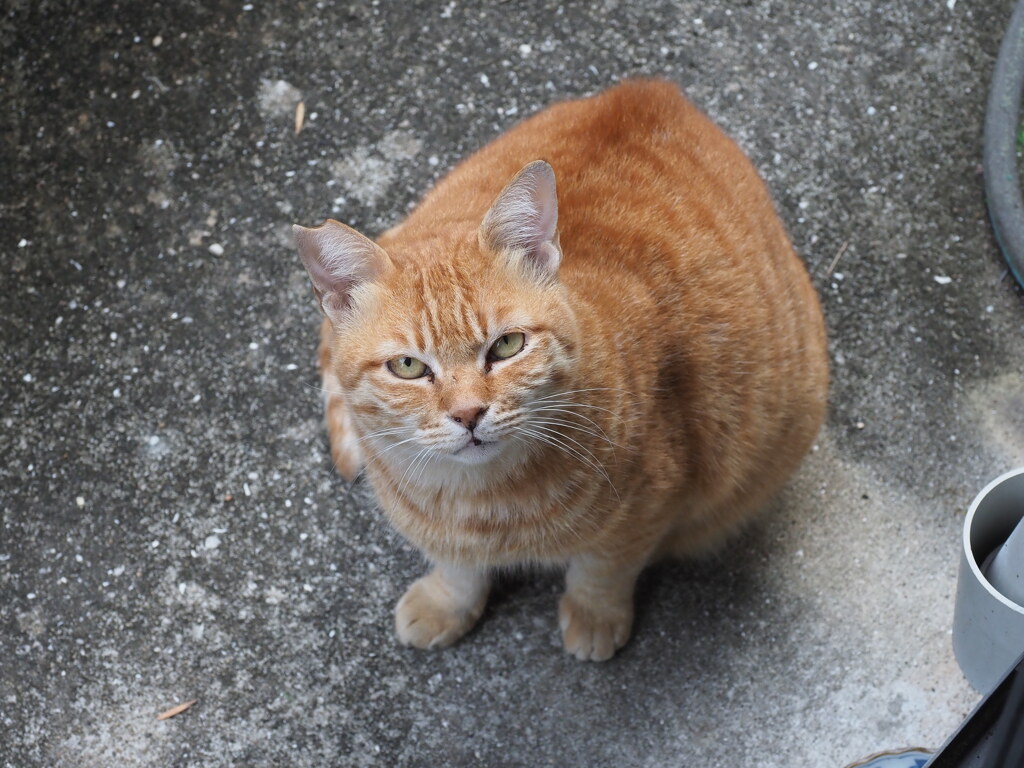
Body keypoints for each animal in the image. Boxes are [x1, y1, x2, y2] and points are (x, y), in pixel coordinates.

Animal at [296, 81, 831, 663]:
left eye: (507, 346)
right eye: (409, 367)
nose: (468, 413)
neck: (480, 504)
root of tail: (655, 87)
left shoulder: (651, 505)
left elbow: (603, 568)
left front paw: (594, 617)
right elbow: (457, 568)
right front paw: (446, 602)